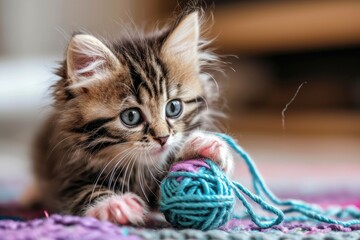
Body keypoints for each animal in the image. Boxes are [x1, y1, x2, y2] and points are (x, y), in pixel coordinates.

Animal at [31, 11, 233, 225]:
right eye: (131, 117)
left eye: (173, 108)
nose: (163, 138)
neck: (139, 170)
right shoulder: (64, 179)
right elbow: (82, 192)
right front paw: (114, 205)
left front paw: (202, 146)